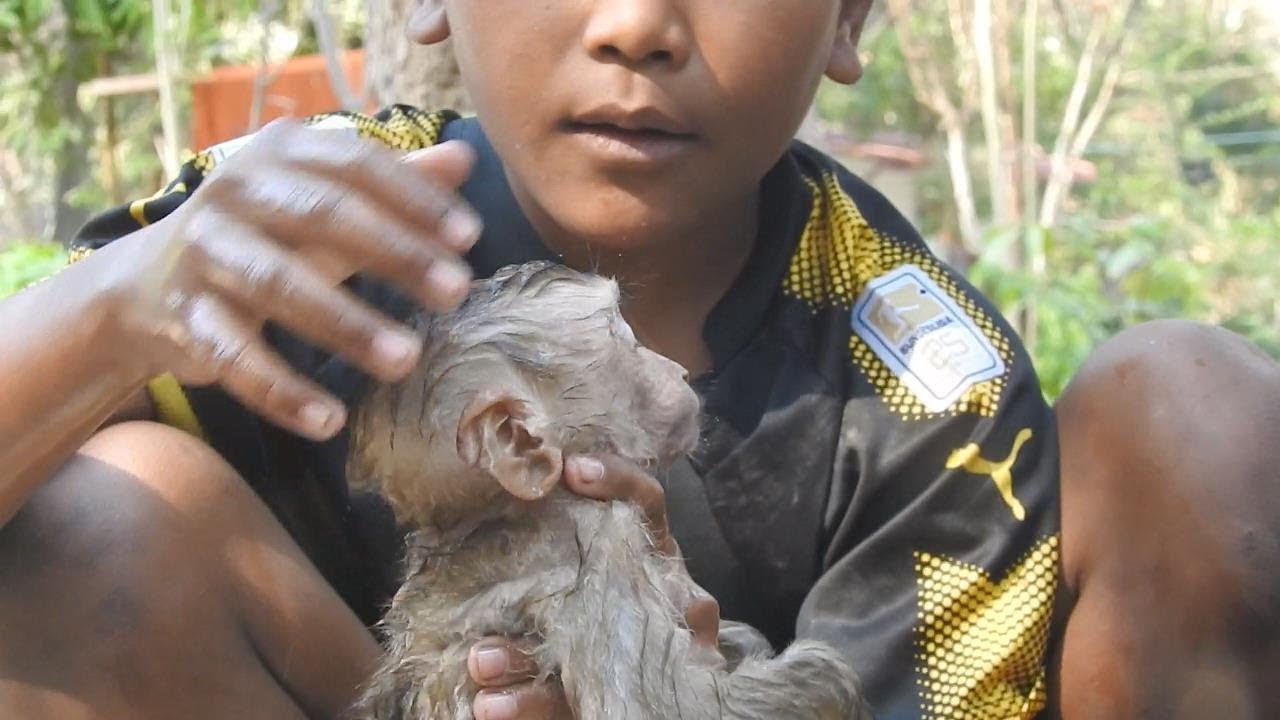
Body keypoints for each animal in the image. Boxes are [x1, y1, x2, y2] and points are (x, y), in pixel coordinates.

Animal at [346, 261, 872, 720]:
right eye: (631, 345)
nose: (680, 370)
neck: (494, 515)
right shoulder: (598, 539)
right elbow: (663, 710)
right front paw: (828, 676)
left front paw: (742, 641)